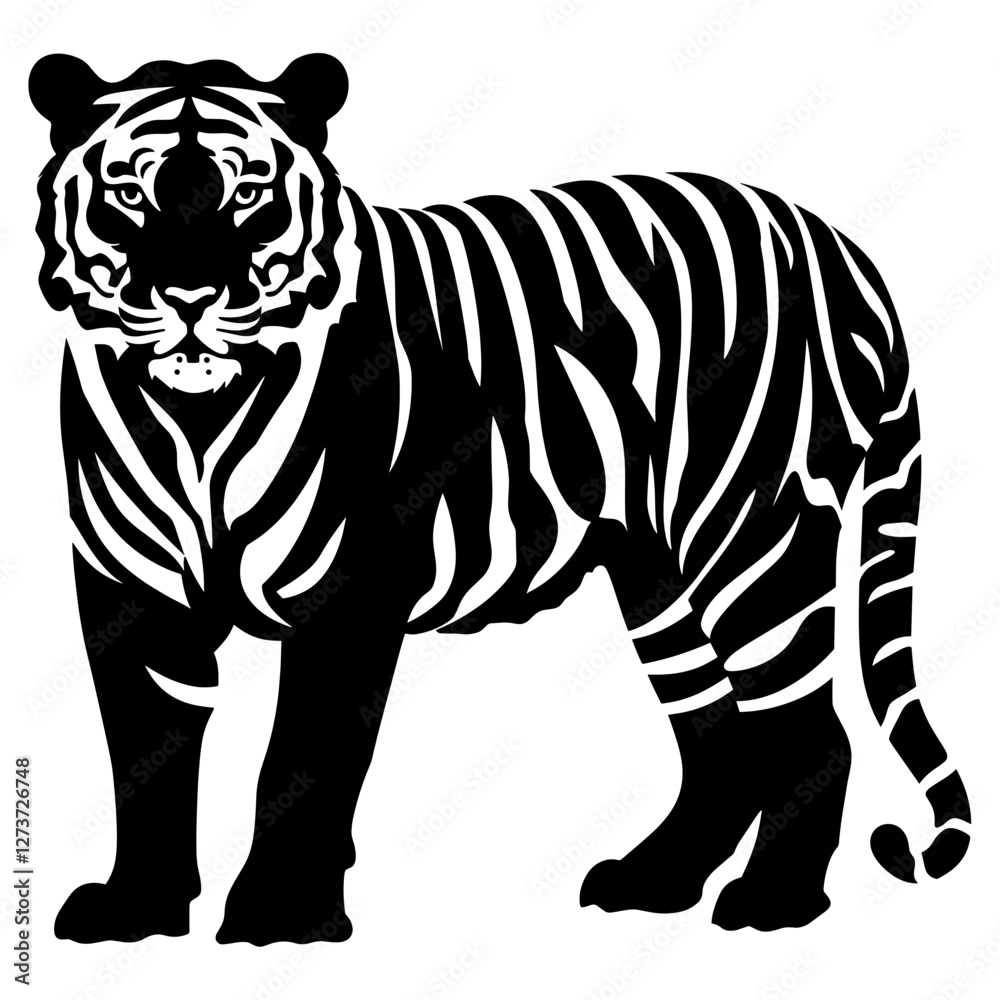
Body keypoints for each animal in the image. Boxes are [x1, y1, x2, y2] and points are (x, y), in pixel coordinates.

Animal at [30, 52, 970, 946]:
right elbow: (144, 756)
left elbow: (302, 759)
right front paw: (136, 909)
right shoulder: (129, 597)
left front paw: (281, 915)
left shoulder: (350, 592)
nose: (189, 298)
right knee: (719, 735)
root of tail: (836, 245)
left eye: (249, 193)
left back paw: (773, 902)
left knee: (813, 734)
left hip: (751, 542)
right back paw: (653, 881)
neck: (195, 417)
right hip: (658, 575)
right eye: (128, 193)